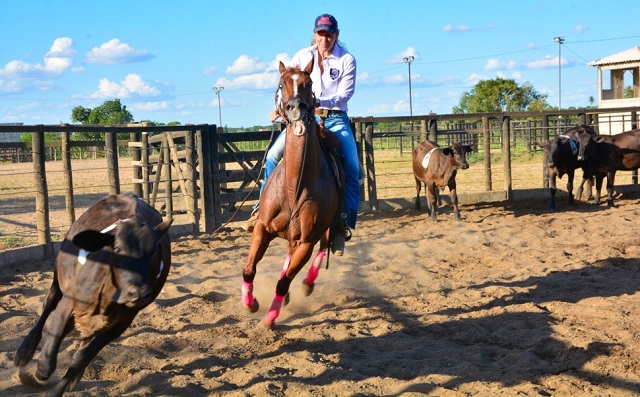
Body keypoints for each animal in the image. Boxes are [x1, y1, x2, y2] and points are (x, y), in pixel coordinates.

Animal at [14, 193, 171, 394]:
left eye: (154, 252)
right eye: (117, 248)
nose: (139, 293)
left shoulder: (121, 323)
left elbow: (81, 358)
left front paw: (62, 386)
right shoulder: (68, 304)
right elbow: (53, 340)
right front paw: (42, 370)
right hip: (59, 278)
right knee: (48, 304)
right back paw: (24, 352)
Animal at [241, 58, 342, 324]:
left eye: (309, 83)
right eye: (280, 83)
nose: (295, 107)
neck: (294, 187)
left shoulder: (306, 242)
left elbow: (284, 281)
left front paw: (269, 319)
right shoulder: (262, 227)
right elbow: (249, 269)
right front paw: (250, 304)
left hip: (328, 227)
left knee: (323, 247)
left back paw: (307, 284)